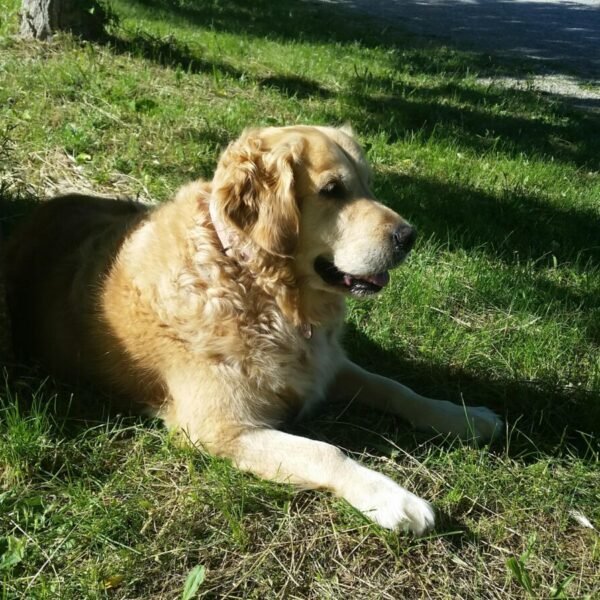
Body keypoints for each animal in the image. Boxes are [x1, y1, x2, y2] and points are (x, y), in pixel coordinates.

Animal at [3, 126, 502, 536]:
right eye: (333, 190)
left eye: (369, 185)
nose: (409, 236)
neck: (256, 284)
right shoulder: (221, 428)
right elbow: (326, 451)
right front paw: (392, 498)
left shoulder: (325, 366)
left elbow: (399, 389)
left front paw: (464, 416)